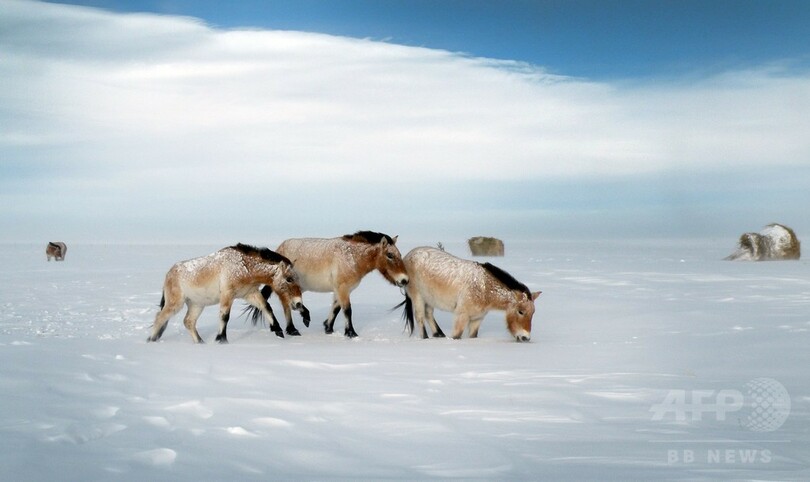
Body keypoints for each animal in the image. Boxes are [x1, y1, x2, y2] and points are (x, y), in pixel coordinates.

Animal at [147, 243, 309, 344]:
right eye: (289, 279)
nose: (298, 303)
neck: (244, 267)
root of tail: (169, 273)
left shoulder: (250, 293)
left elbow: (266, 307)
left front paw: (278, 331)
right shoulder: (227, 294)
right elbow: (225, 316)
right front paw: (222, 339)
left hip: (196, 305)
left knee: (188, 322)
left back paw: (200, 342)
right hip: (175, 303)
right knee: (160, 317)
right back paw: (150, 340)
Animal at [254, 231, 409, 338]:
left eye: (400, 255)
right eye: (390, 255)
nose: (405, 280)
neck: (352, 257)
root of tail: (280, 248)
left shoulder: (342, 289)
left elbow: (336, 308)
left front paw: (328, 328)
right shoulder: (342, 288)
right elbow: (347, 310)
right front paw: (351, 333)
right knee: (286, 305)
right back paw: (293, 328)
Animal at [398, 246, 540, 342]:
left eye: (533, 313)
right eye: (521, 311)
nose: (525, 337)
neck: (484, 287)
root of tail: (408, 256)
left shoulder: (477, 319)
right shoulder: (461, 316)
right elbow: (456, 336)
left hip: (429, 299)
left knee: (428, 314)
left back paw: (439, 335)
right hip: (418, 297)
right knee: (420, 317)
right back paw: (426, 338)